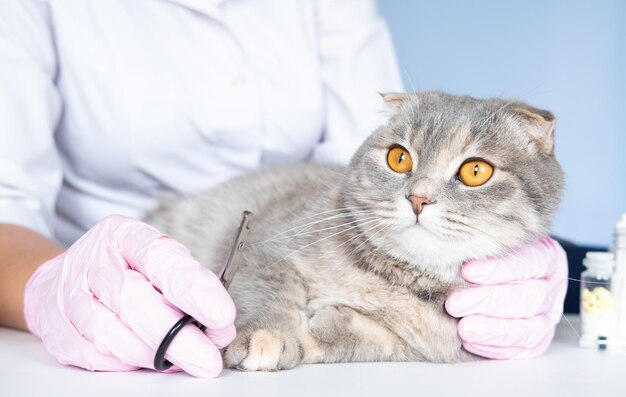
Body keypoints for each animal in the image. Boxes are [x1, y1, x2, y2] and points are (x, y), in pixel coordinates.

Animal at [144, 91, 564, 370]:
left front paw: (326, 327)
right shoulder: (266, 249)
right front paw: (268, 333)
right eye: (399, 158)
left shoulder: (432, 344)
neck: (395, 281)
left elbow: (371, 341)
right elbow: (266, 292)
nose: (418, 198)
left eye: (476, 171)